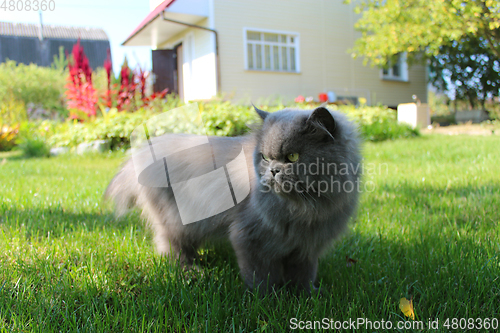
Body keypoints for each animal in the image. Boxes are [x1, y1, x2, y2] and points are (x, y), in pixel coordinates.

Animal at [105, 106, 362, 294]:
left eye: (292, 157)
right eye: (265, 157)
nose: (273, 171)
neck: (303, 208)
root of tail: (140, 153)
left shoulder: (305, 248)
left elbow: (303, 276)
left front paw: (308, 295)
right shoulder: (250, 239)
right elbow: (260, 276)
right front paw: (268, 299)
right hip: (177, 221)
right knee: (172, 248)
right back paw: (192, 271)